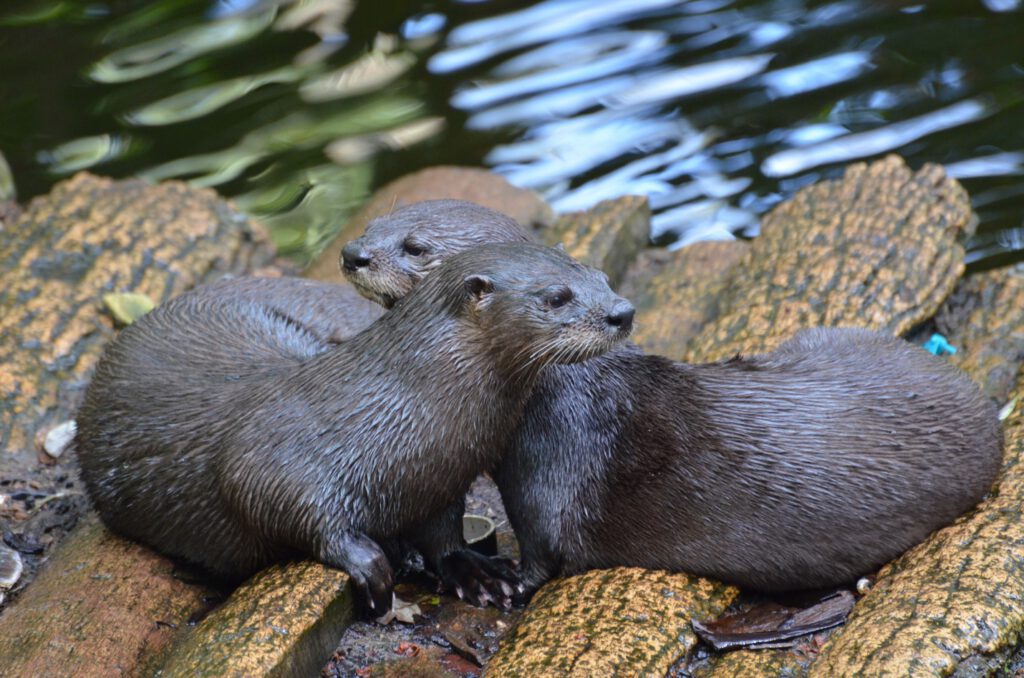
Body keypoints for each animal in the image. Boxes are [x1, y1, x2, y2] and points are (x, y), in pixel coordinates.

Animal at [75, 243, 635, 614]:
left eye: (602, 276)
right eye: (556, 296)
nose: (622, 312)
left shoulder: (438, 481)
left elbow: (442, 533)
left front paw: (475, 572)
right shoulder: (276, 453)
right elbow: (278, 499)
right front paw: (370, 564)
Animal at [343, 200, 1003, 595]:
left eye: (414, 246)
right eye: (373, 223)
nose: (352, 253)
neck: (559, 391)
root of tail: (983, 410)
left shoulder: (546, 483)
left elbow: (542, 555)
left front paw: (498, 582)